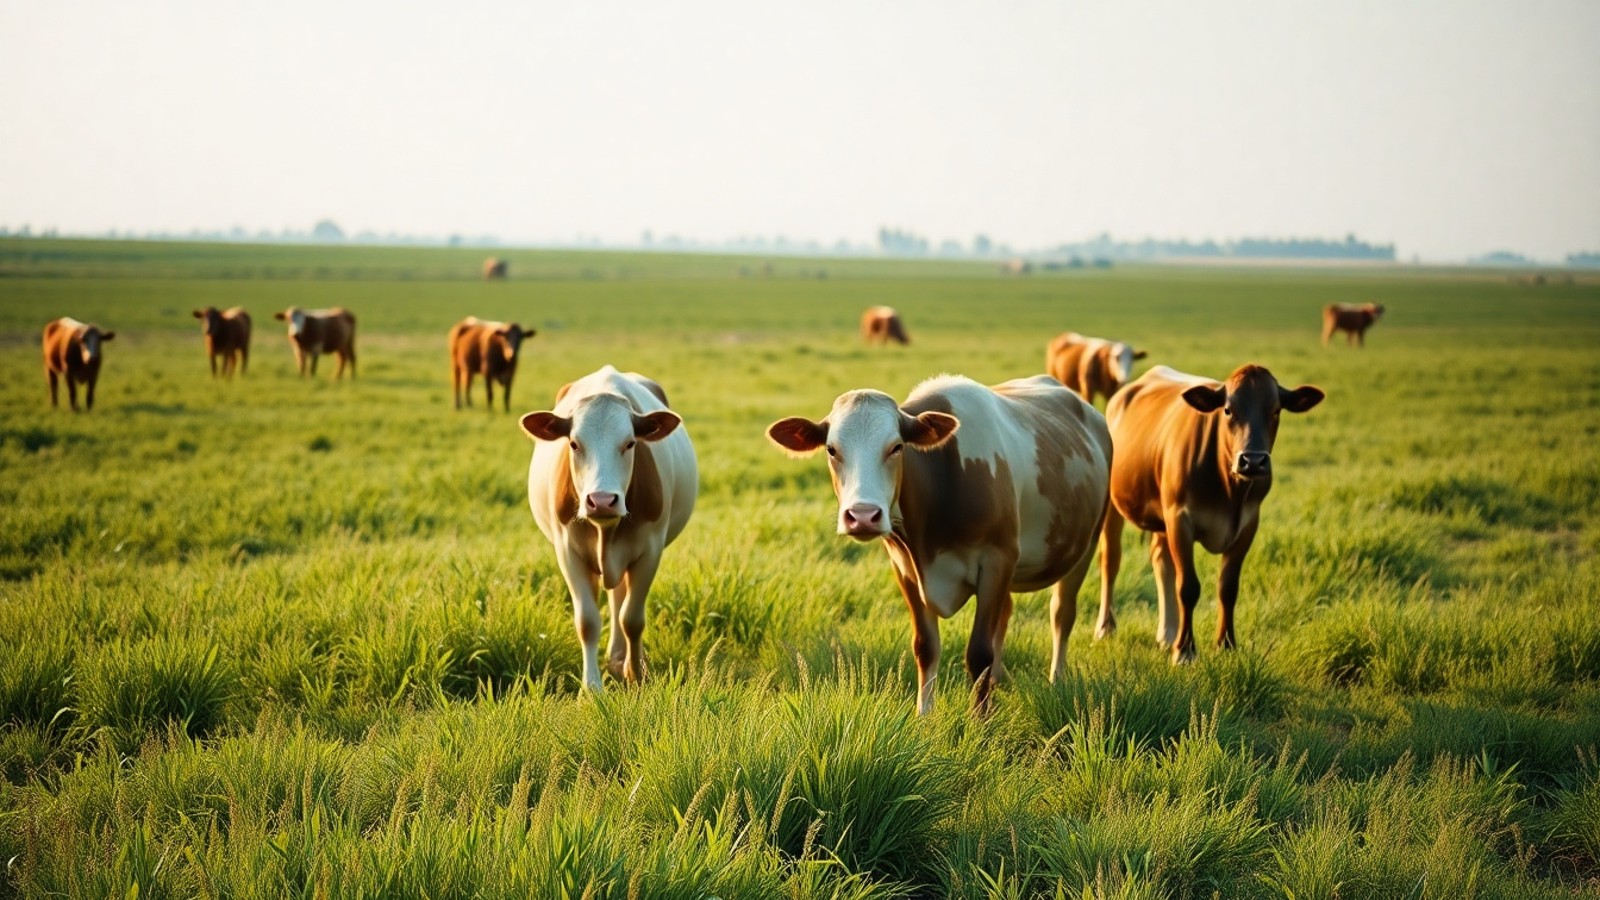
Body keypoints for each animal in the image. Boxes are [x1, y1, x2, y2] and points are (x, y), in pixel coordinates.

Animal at [520, 366, 697, 691]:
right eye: (574, 444)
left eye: (630, 443)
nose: (601, 500)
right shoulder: (567, 552)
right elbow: (587, 621)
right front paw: (591, 687)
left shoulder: (650, 550)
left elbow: (632, 618)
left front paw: (637, 673)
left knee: (620, 600)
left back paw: (620, 660)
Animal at [767, 374, 1112, 715]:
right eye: (832, 450)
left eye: (896, 447)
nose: (863, 516)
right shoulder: (905, 569)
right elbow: (926, 647)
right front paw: (924, 715)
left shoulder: (996, 559)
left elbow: (979, 653)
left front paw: (980, 722)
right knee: (1006, 616)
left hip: (1087, 542)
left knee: (1062, 613)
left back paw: (1056, 678)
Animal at [1096, 365, 1324, 664]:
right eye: (1227, 410)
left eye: (1276, 410)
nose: (1252, 461)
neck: (1229, 490)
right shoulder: (1180, 519)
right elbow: (1187, 587)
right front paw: (1184, 650)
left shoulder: (1248, 524)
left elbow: (1228, 587)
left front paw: (1226, 645)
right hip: (1114, 503)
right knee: (1111, 559)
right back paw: (1106, 628)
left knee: (1161, 559)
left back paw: (1167, 633)